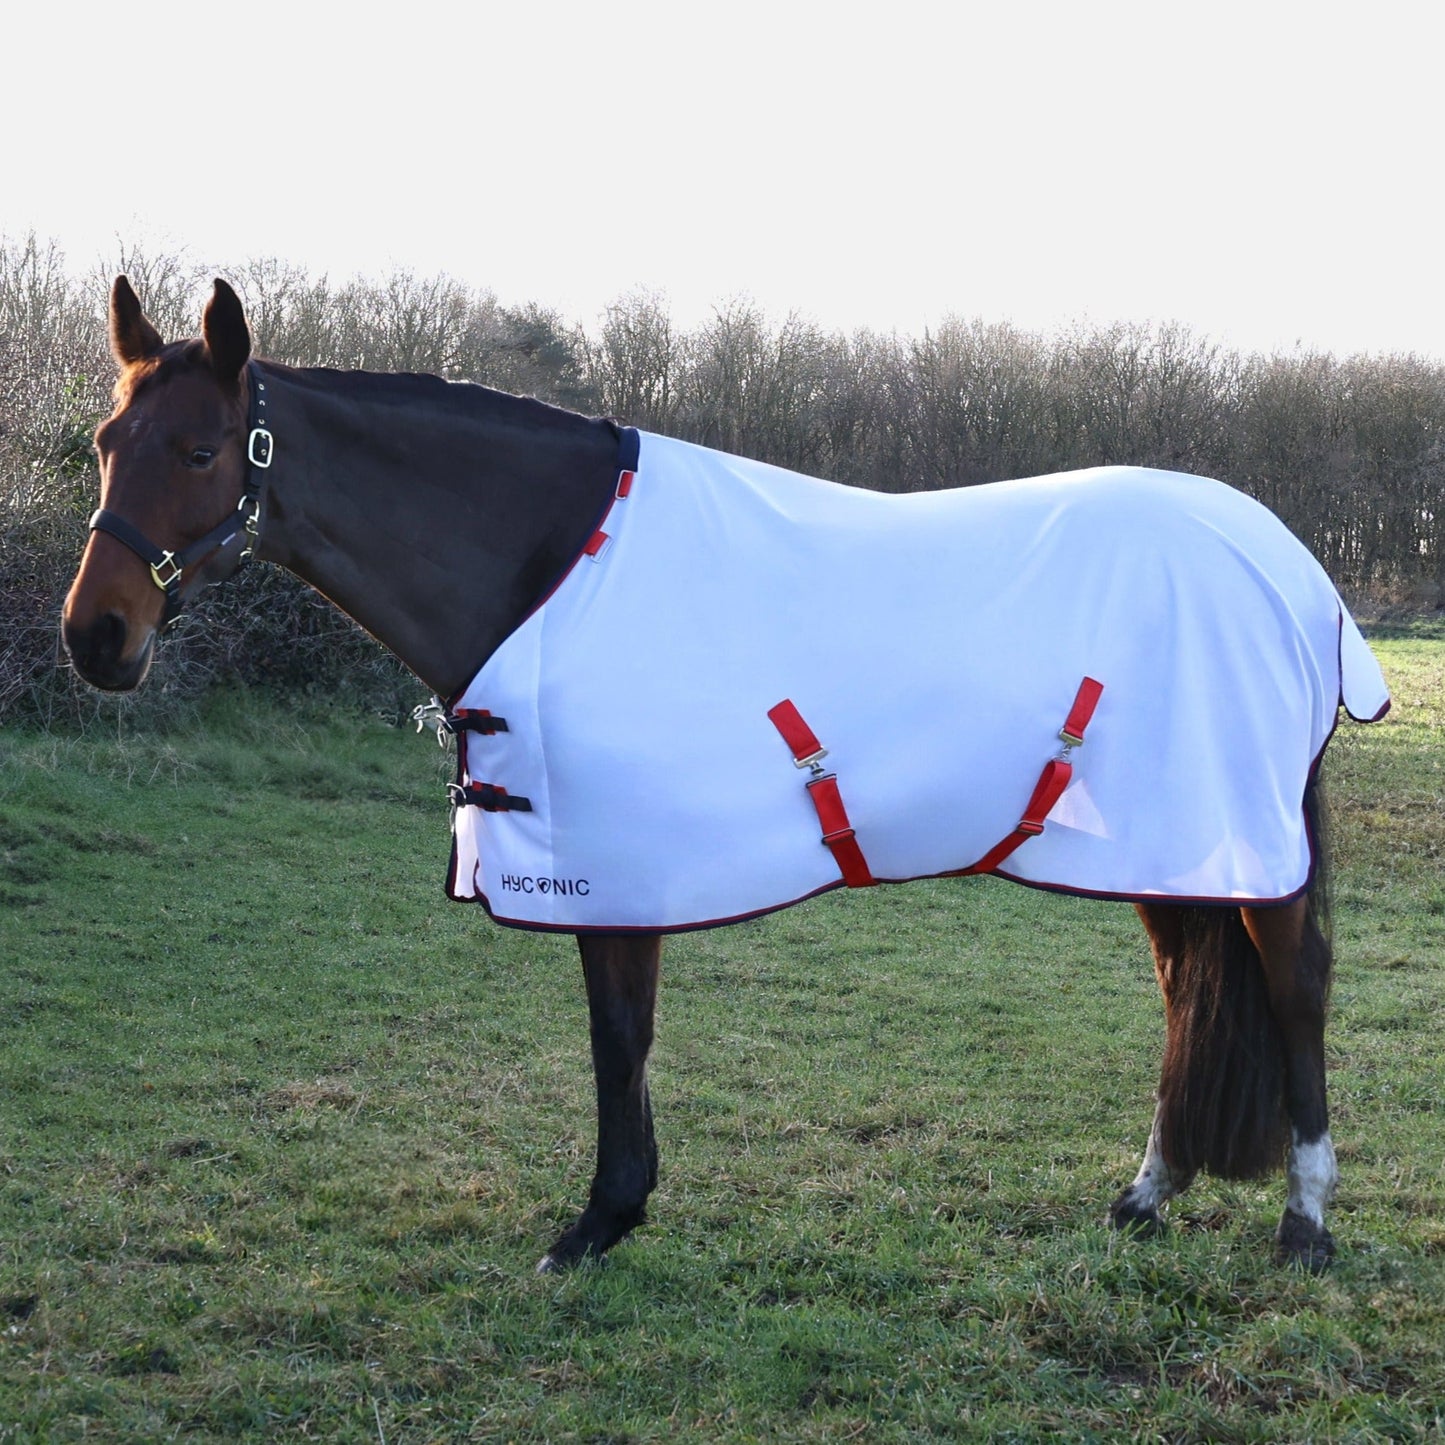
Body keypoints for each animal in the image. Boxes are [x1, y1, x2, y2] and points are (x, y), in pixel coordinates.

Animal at [61, 276, 1389, 1274]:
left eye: (199, 447)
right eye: (105, 442)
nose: (95, 637)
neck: (553, 563)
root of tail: (1288, 565)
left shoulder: (613, 868)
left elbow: (617, 1037)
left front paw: (596, 1222)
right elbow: (626, 1039)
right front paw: (619, 1209)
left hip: (1247, 847)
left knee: (1293, 992)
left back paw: (1303, 1224)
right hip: (1173, 839)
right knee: (1185, 990)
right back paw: (1144, 1196)